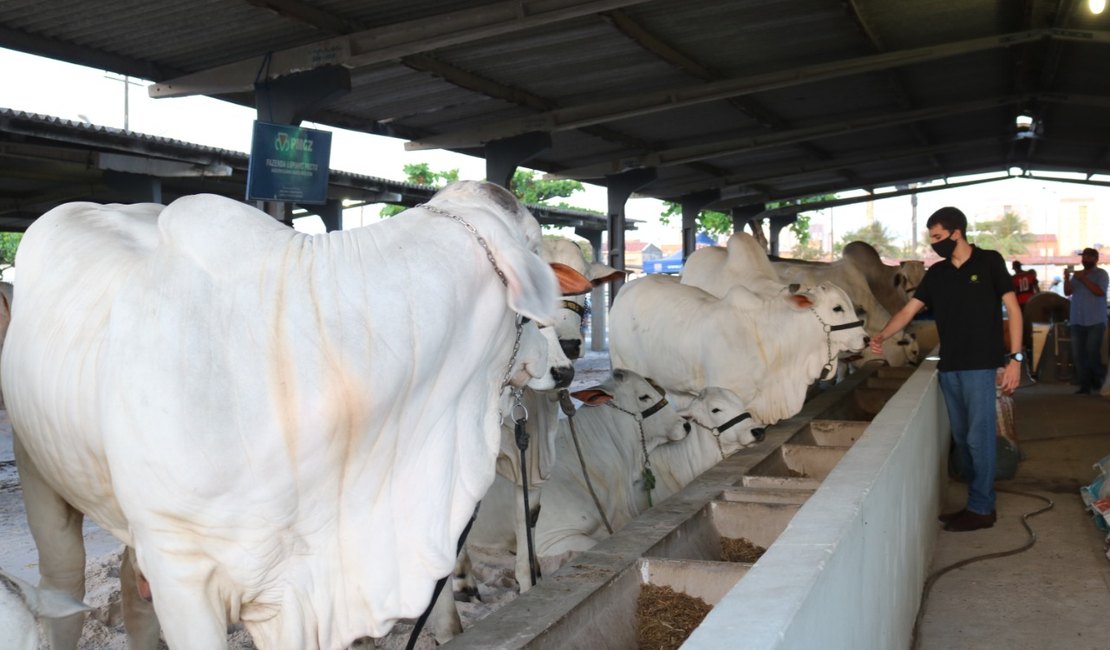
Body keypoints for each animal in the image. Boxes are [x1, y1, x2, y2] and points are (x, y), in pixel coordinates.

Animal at [4, 180, 594, 647]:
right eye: (537, 251)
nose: (564, 367)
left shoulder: (294, 589)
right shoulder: (181, 571)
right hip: (42, 479)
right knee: (63, 588)